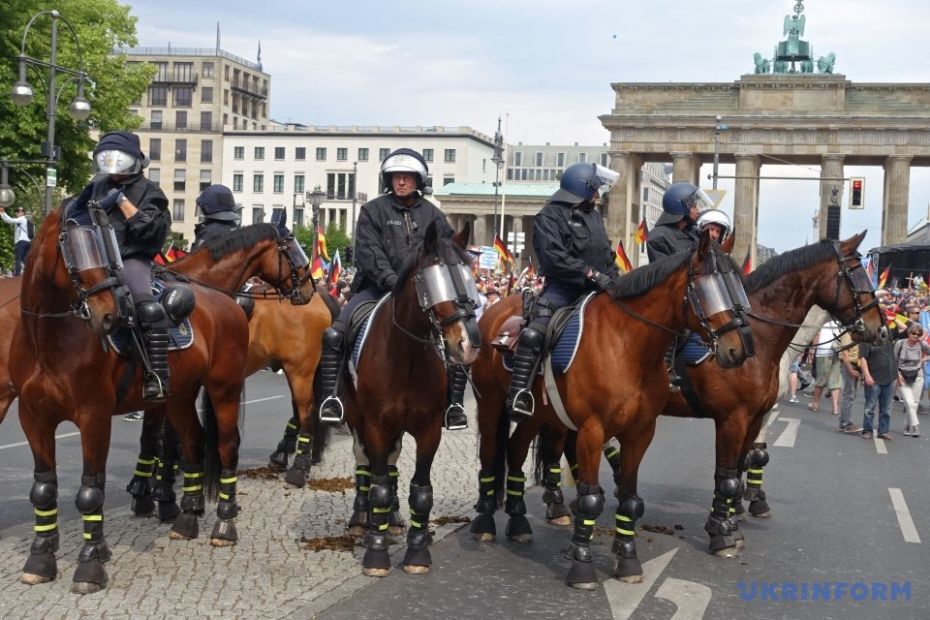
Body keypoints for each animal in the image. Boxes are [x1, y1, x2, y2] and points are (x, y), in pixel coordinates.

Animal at [121, 224, 318, 520]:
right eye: (293, 249)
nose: (308, 286)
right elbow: (154, 436)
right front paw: (150, 489)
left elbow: (165, 437)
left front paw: (161, 491)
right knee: (301, 411)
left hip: (301, 370)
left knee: (305, 411)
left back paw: (298, 466)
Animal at [334, 222, 478, 576]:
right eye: (436, 280)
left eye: (468, 274)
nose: (468, 344)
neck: (407, 355)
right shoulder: (375, 425)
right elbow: (379, 488)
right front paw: (376, 553)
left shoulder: (429, 429)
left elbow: (421, 490)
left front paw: (416, 550)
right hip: (357, 419)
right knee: (365, 463)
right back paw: (362, 520)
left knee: (390, 461)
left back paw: (395, 522)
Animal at [472, 230, 752, 588]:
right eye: (709, 288)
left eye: (738, 285)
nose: (738, 349)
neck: (627, 344)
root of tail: (492, 313)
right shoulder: (592, 430)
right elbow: (590, 498)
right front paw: (582, 567)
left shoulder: (641, 432)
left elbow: (630, 499)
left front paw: (628, 560)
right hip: (490, 404)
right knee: (490, 453)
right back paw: (484, 523)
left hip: (538, 415)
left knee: (516, 450)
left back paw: (519, 522)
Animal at [556, 231, 880, 556]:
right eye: (856, 273)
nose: (880, 329)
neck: (759, 336)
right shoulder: (732, 417)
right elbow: (729, 474)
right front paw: (723, 531)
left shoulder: (757, 415)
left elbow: (741, 465)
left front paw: (734, 517)